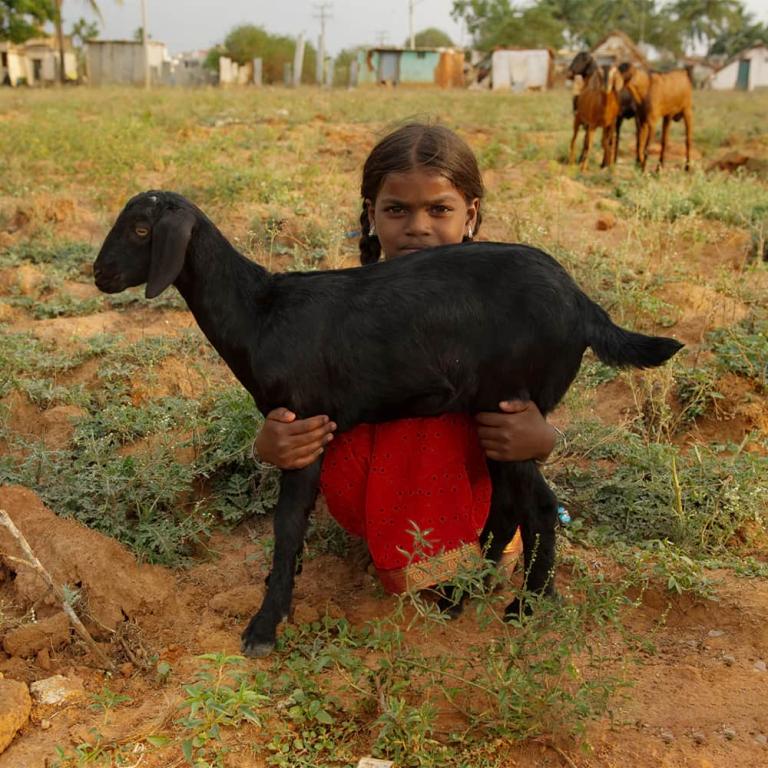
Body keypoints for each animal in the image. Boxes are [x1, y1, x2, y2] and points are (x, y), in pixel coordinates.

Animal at [93, 190, 680, 656]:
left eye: (142, 229)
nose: (100, 274)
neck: (260, 312)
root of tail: (583, 303)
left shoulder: (306, 419)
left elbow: (287, 525)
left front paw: (265, 624)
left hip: (510, 404)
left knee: (535, 505)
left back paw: (527, 604)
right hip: (490, 412)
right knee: (509, 504)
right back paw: (462, 594)